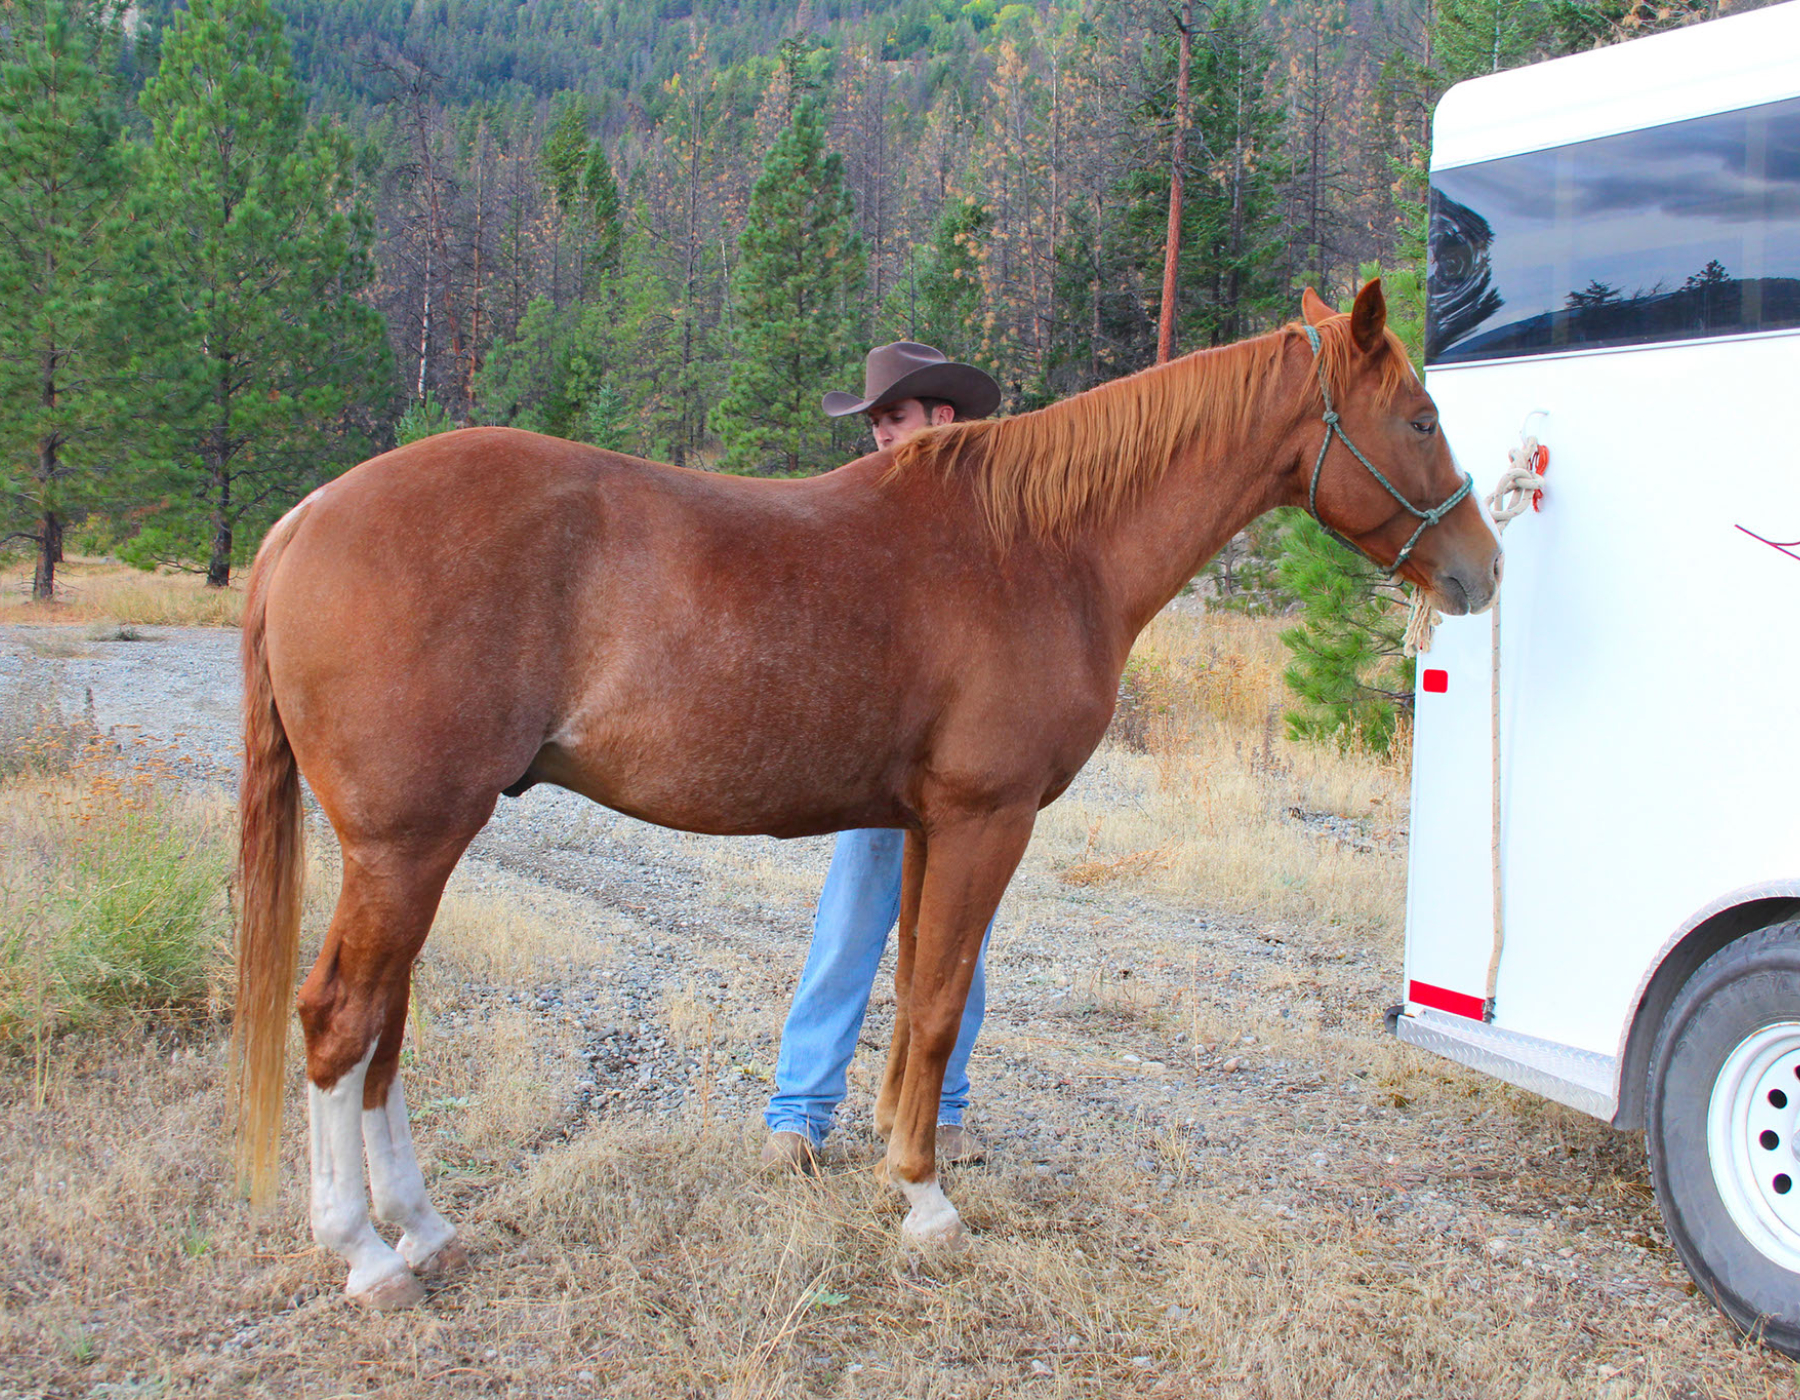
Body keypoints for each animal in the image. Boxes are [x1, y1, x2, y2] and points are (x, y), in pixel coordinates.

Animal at [235, 278, 1504, 1302]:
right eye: (1423, 418)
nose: (1484, 569)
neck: (1043, 545)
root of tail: (307, 516)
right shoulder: (986, 819)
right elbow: (939, 1002)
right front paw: (927, 1200)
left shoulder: (923, 824)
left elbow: (906, 992)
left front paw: (899, 1149)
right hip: (408, 843)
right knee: (340, 1018)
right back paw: (364, 1253)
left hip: (418, 848)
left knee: (386, 1023)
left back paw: (422, 1225)